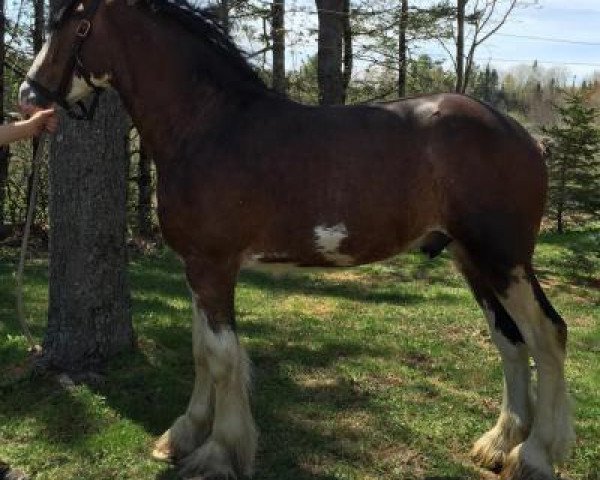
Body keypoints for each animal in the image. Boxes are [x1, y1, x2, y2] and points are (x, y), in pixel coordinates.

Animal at [17, 0, 572, 480]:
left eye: (76, 23)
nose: (29, 96)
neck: (206, 125)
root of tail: (522, 134)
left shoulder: (214, 266)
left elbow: (223, 358)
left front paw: (219, 453)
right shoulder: (195, 266)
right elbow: (202, 353)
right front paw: (182, 436)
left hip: (504, 259)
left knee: (547, 334)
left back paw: (534, 456)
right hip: (470, 259)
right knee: (508, 339)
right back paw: (499, 443)